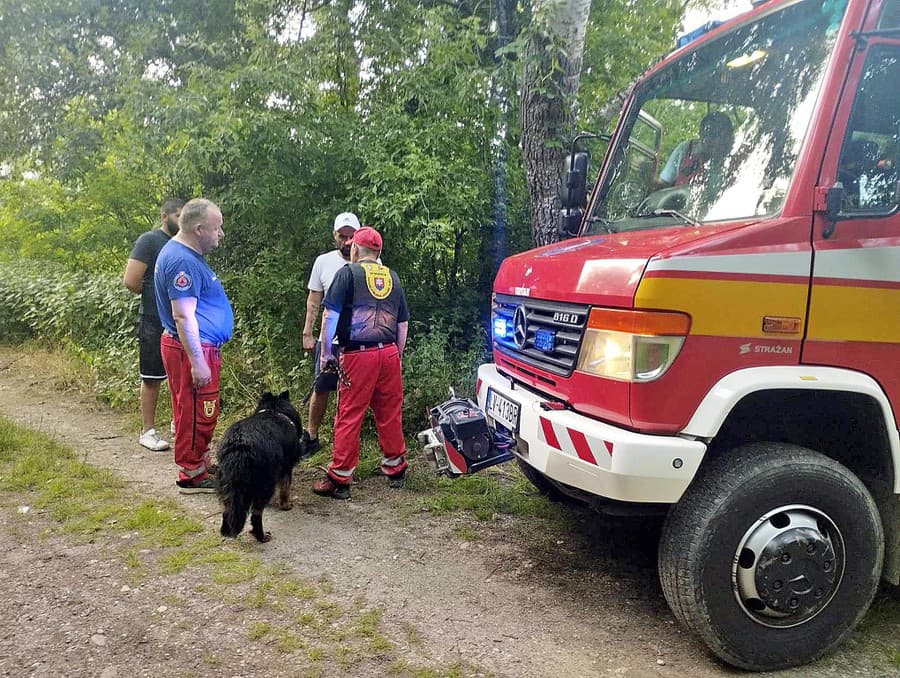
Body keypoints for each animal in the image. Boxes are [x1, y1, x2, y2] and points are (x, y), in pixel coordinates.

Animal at [216, 394, 308, 540]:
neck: (274, 410)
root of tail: (240, 446)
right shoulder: (286, 468)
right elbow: (285, 489)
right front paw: (286, 505)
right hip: (265, 484)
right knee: (256, 514)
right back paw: (261, 536)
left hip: (225, 482)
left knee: (226, 509)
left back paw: (225, 531)